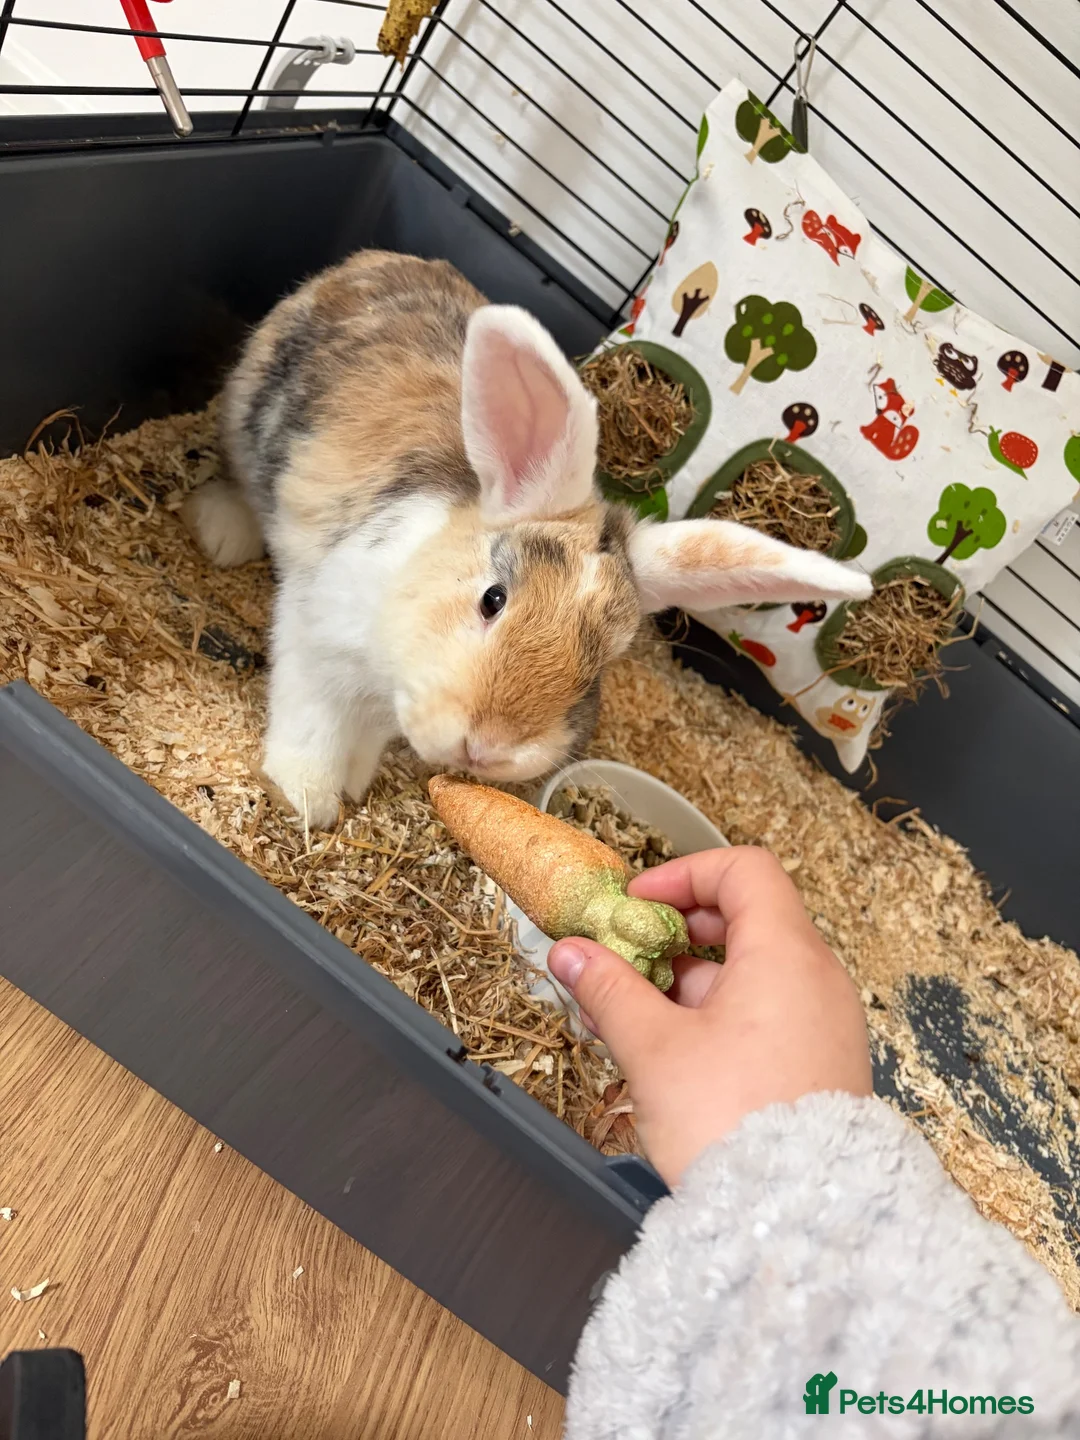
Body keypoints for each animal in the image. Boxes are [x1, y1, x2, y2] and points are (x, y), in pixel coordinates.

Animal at [183, 249, 871, 829]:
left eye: (601, 666)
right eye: (493, 599)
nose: (488, 747)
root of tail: (373, 260)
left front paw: (353, 782)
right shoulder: (316, 643)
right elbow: (313, 726)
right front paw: (307, 799)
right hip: (246, 410)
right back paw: (222, 530)